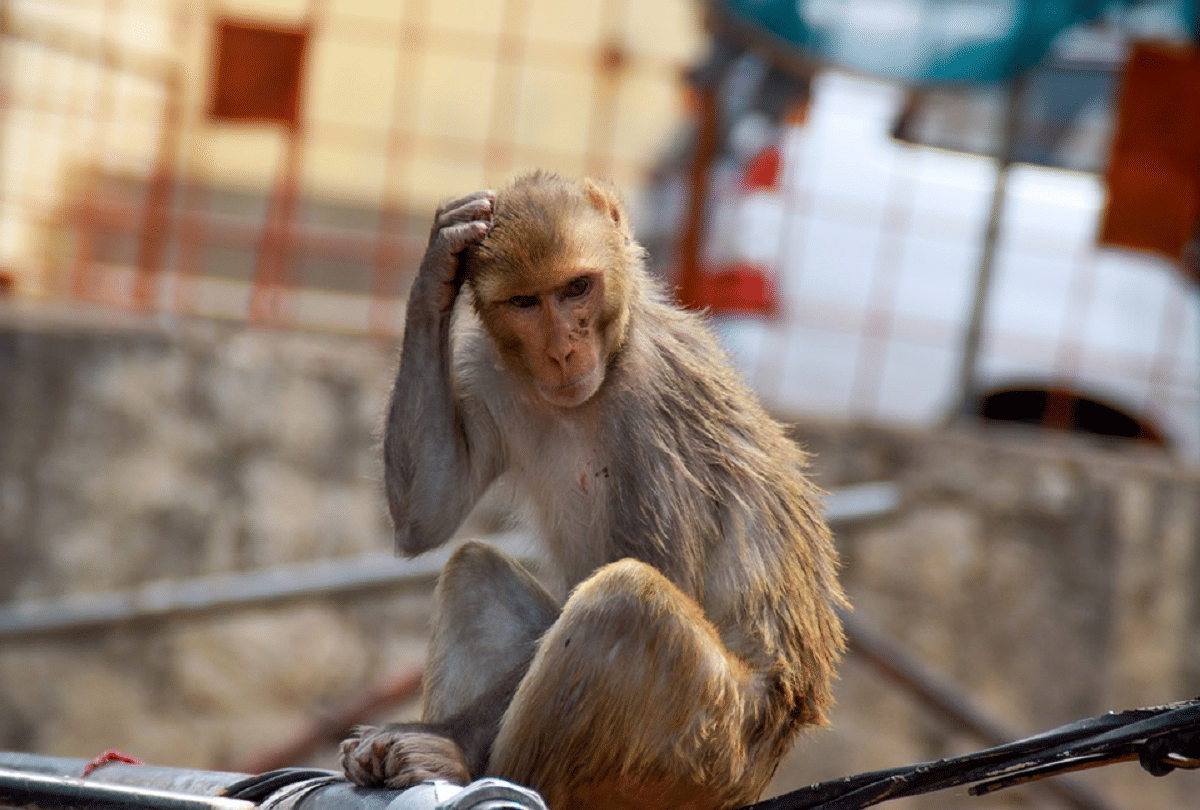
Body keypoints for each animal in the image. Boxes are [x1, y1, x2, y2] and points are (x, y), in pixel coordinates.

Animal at [340, 172, 847, 810]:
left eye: (577, 288)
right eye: (527, 303)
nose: (562, 350)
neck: (614, 354)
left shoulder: (652, 406)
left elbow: (662, 573)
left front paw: (437, 738)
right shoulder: (488, 366)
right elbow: (428, 510)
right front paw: (439, 260)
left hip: (707, 752)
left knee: (627, 601)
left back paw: (465, 763)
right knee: (473, 569)